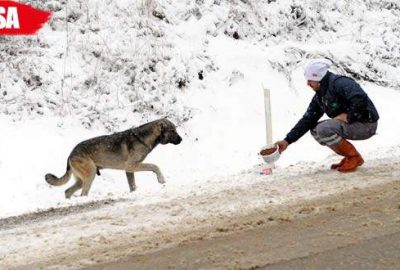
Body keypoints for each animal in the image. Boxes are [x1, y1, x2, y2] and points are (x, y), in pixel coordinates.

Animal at [45, 118, 181, 198]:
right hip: (90, 175)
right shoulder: (131, 166)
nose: (181, 140)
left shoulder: (129, 171)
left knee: (67, 191)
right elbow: (154, 166)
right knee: (83, 193)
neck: (142, 138)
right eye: (172, 131)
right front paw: (161, 179)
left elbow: (133, 186)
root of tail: (70, 154)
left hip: (81, 179)